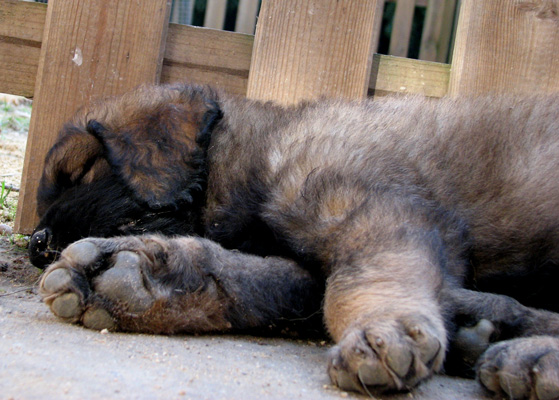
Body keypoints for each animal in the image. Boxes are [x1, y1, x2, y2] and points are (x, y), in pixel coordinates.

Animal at [31, 83, 559, 398]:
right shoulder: (294, 261)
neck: (263, 148)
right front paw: (147, 281)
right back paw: (486, 329)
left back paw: (523, 354)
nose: (37, 245)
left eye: (77, 171)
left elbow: (357, 280)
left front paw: (384, 333)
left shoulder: (374, 208)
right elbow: (259, 280)